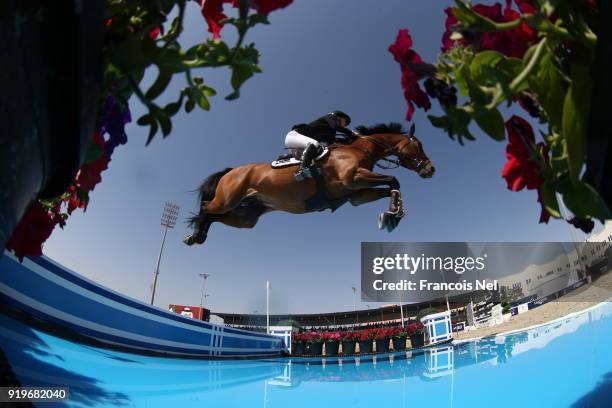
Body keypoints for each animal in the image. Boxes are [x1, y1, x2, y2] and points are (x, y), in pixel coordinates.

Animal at [183, 122, 436, 245]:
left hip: (246, 217)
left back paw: (199, 236)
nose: (431, 169)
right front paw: (394, 213)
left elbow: (390, 186)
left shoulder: (355, 194)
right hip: (227, 199)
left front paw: (392, 215)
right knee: (205, 209)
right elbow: (394, 179)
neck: (359, 150)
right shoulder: (353, 177)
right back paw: (194, 235)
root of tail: (230, 171)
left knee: (214, 217)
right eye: (418, 145)